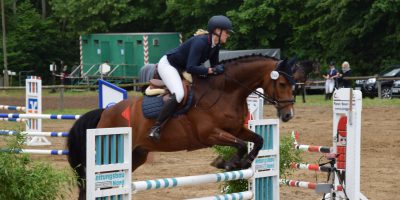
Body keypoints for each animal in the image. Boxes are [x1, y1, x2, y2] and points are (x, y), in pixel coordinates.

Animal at [66, 55, 296, 200]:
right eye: (282, 84)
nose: (288, 115)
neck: (225, 92)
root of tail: (105, 112)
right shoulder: (209, 134)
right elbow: (239, 145)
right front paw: (226, 163)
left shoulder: (237, 129)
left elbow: (258, 140)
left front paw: (244, 162)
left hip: (136, 154)